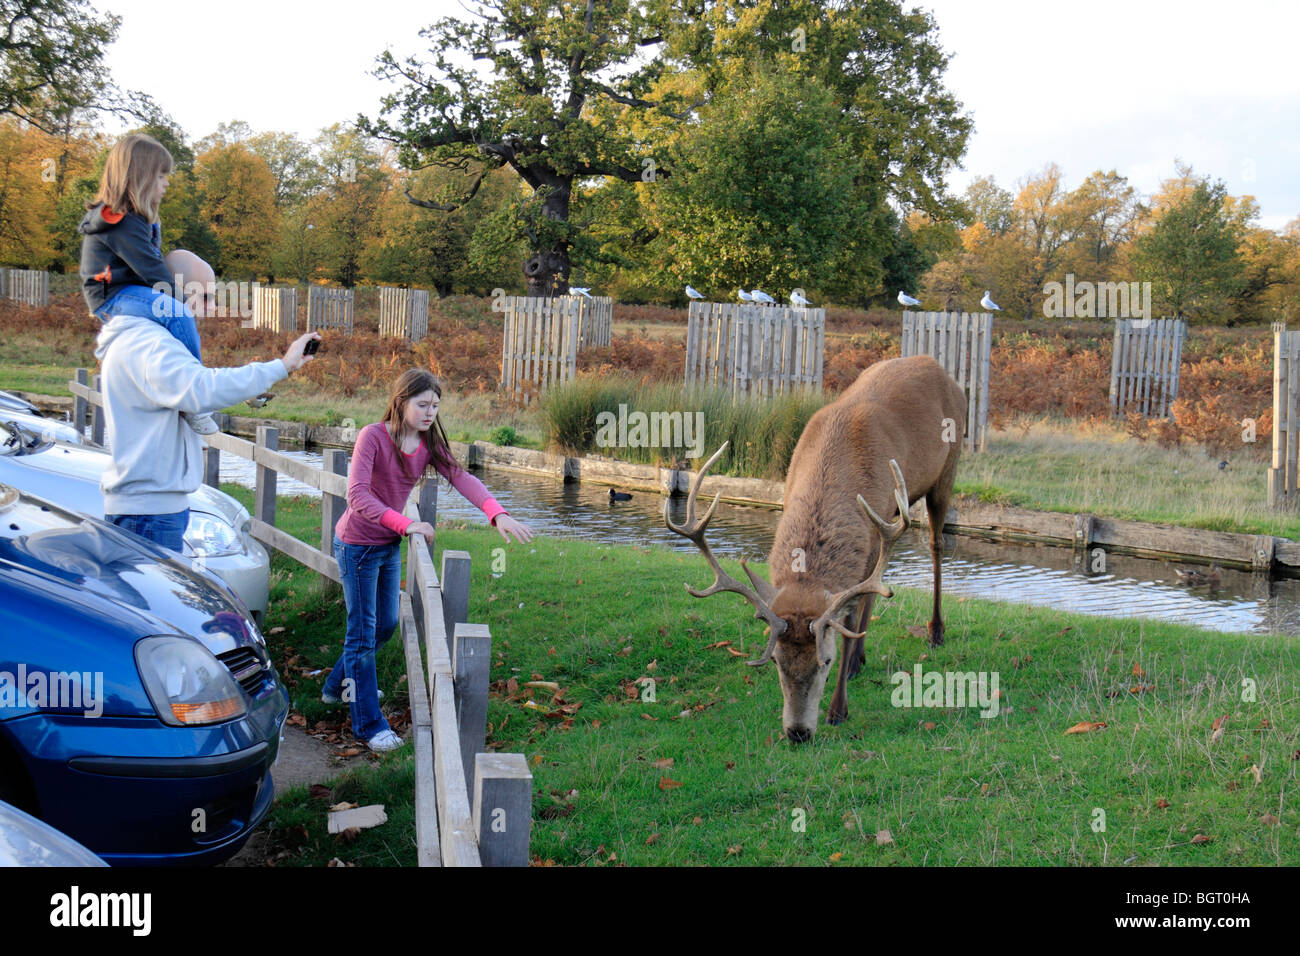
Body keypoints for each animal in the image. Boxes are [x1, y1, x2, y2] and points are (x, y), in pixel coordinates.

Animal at [666, 355, 966, 743]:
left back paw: (935, 631)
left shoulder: (876, 530)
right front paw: (853, 663)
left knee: (935, 544)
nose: (797, 732)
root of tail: (937, 366)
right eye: (776, 660)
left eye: (825, 661)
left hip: (947, 469)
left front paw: (839, 709)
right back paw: (862, 658)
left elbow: (850, 617)